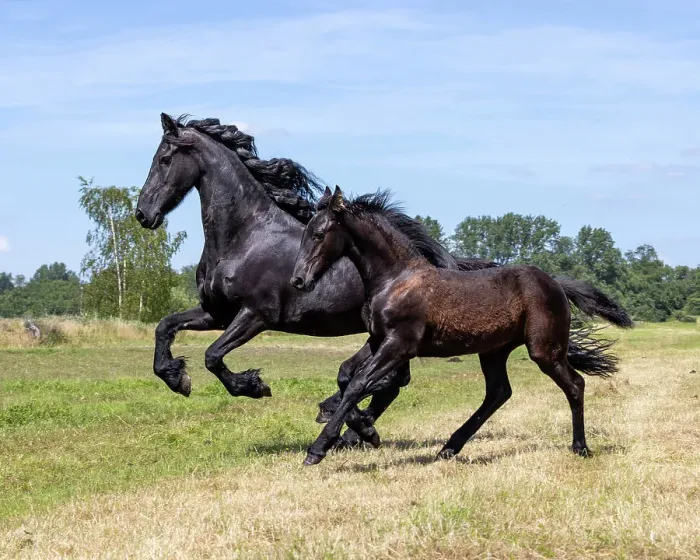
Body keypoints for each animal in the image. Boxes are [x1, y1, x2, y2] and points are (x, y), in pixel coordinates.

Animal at [135, 113, 497, 447]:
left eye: (164, 159)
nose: (142, 214)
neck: (245, 237)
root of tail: (444, 264)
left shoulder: (256, 315)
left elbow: (213, 356)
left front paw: (253, 386)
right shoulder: (216, 313)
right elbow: (165, 327)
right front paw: (176, 377)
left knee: (387, 380)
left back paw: (347, 423)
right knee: (389, 381)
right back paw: (354, 429)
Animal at [290, 186, 633, 465]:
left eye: (319, 234)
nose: (298, 280)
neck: (397, 280)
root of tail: (556, 283)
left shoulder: (400, 344)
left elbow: (359, 383)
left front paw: (320, 448)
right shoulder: (378, 340)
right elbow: (346, 376)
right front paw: (364, 429)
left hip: (544, 349)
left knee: (574, 385)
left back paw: (581, 448)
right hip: (494, 351)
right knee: (498, 393)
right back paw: (449, 448)